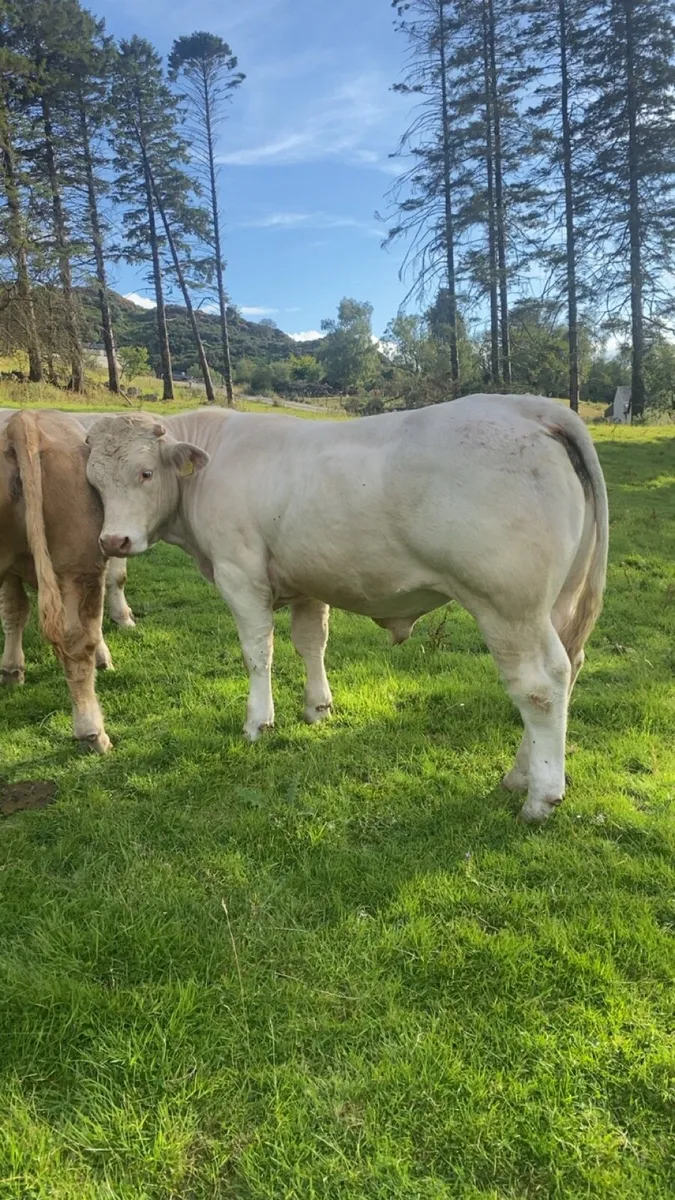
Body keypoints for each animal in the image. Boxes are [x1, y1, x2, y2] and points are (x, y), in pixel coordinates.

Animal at [0, 410, 112, 751]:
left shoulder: (11, 570)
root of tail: (23, 419)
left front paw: (12, 670)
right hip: (81, 566)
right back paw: (92, 730)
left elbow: (14, 612)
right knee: (78, 639)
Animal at [84, 395, 609, 822]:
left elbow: (258, 653)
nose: (112, 541)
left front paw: (259, 722)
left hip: (508, 607)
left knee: (539, 687)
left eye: (145, 473)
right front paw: (318, 707)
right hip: (555, 605)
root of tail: (530, 406)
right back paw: (521, 775)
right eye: (93, 483)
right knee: (568, 670)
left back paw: (540, 797)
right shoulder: (306, 580)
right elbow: (310, 643)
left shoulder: (240, 575)